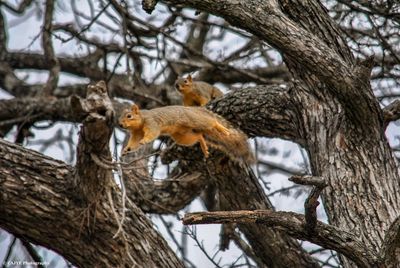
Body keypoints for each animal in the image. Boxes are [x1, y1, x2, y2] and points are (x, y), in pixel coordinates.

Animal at [117, 104, 253, 163]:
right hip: (182, 136)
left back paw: (222, 128)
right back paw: (204, 146)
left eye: (129, 116)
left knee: (212, 122)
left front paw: (145, 140)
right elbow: (134, 143)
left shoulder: (152, 123)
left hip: (196, 120)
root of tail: (198, 110)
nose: (120, 125)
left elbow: (152, 133)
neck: (141, 121)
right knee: (199, 136)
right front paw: (126, 150)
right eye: (120, 116)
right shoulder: (136, 133)